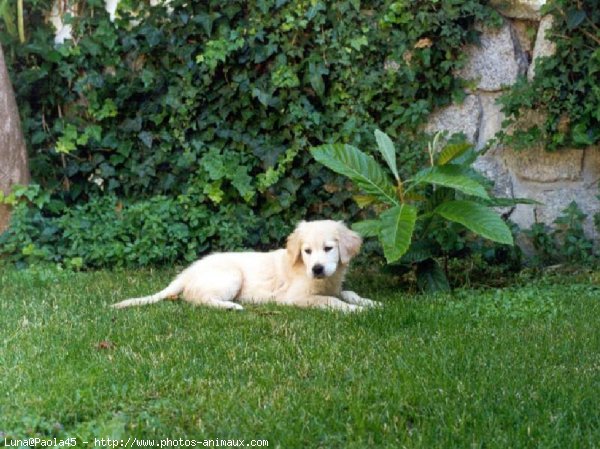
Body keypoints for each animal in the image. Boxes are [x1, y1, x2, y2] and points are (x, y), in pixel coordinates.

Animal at [110, 220, 378, 312]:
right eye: (307, 251)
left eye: (329, 248)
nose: (317, 269)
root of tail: (187, 273)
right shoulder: (295, 297)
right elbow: (329, 301)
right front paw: (354, 310)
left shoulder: (334, 285)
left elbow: (347, 292)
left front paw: (370, 303)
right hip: (231, 276)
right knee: (195, 298)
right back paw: (231, 306)